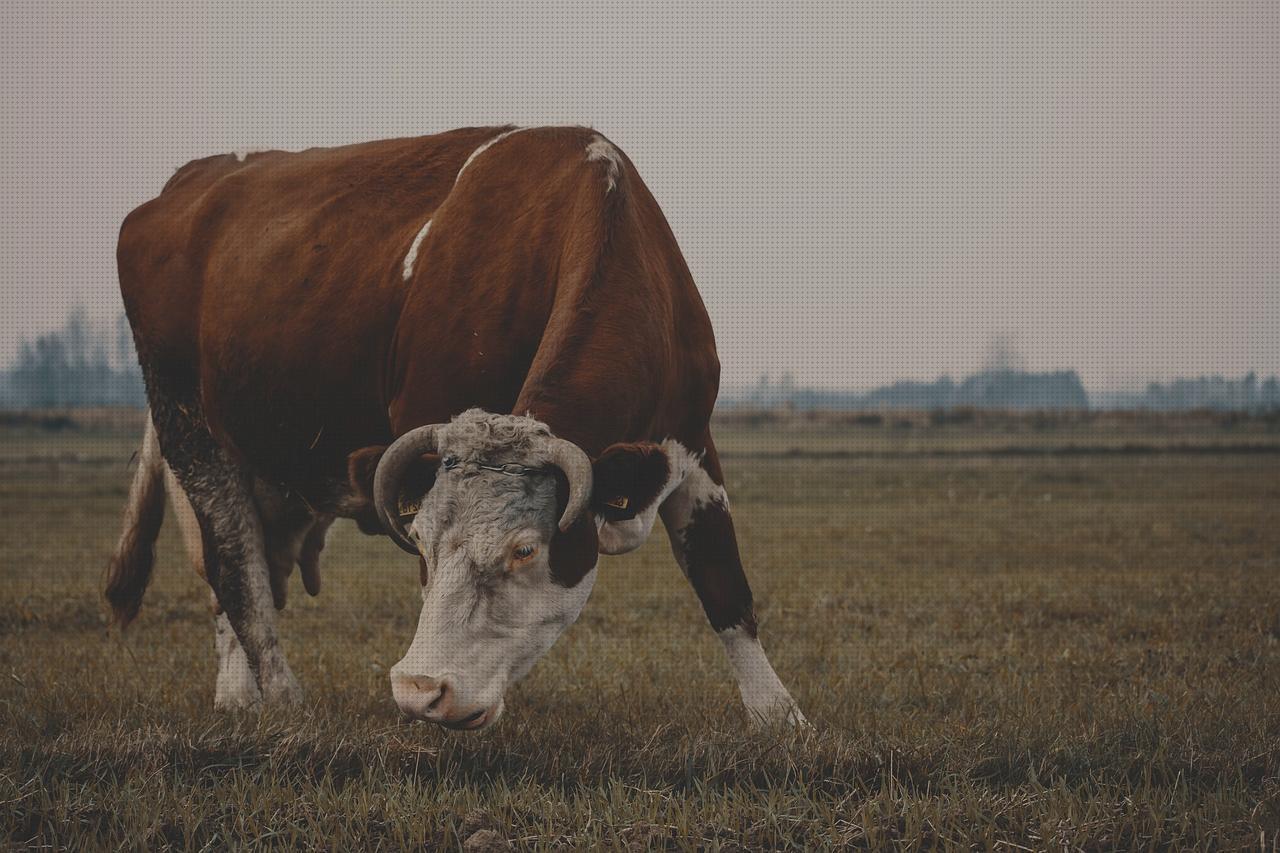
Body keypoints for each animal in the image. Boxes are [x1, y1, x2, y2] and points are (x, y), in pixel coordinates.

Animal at [104, 122, 803, 727]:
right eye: (419, 540)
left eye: (526, 549)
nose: (421, 690)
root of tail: (186, 183)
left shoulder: (692, 443)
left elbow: (722, 579)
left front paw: (777, 716)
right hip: (193, 436)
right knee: (235, 567)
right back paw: (278, 698)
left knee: (247, 570)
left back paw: (240, 694)